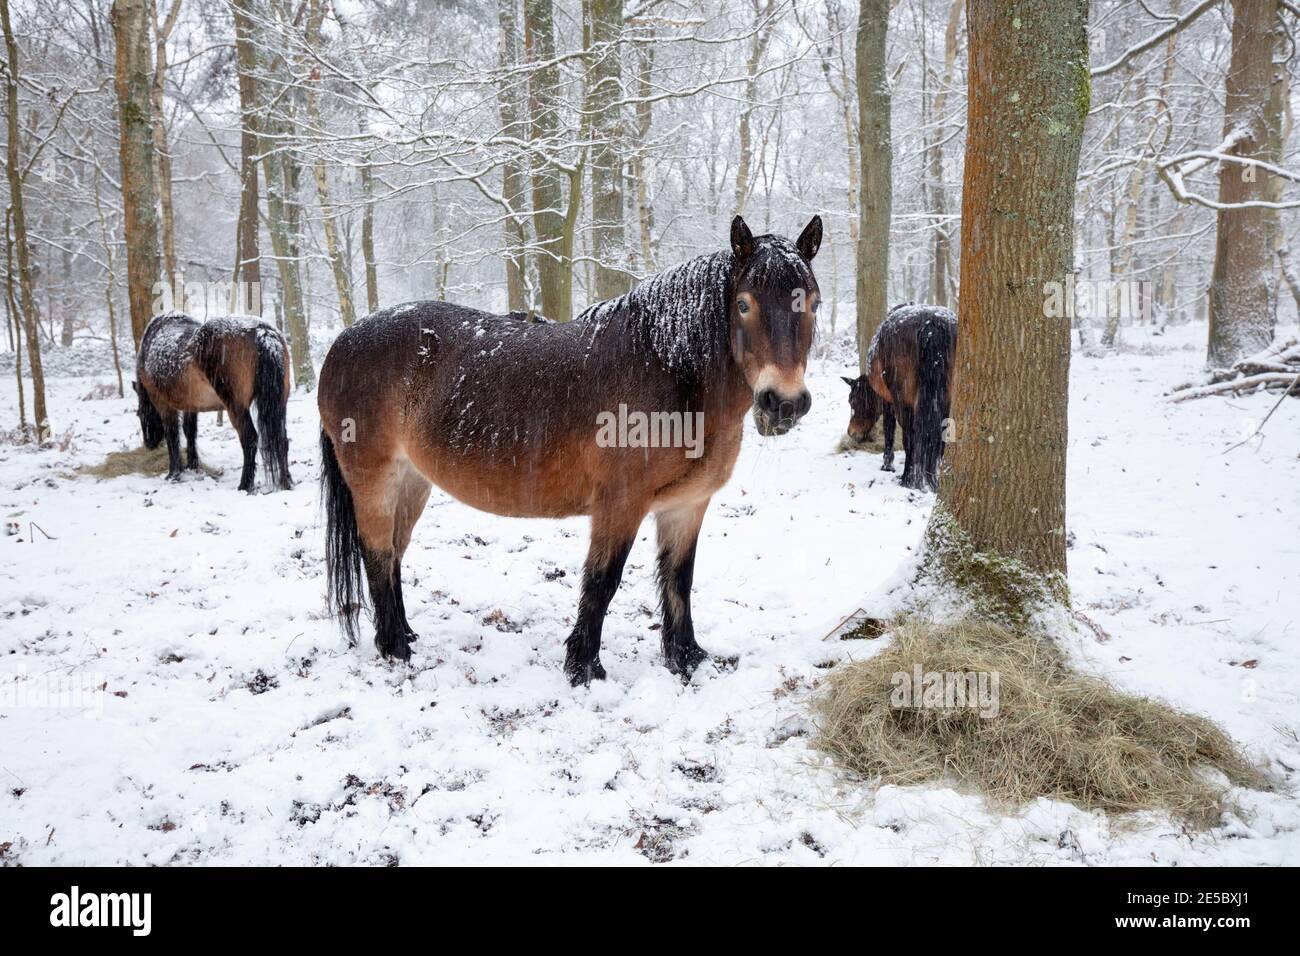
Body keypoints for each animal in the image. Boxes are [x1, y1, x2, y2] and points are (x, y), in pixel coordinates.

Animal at [133, 311, 293, 492]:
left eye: (139, 414)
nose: (149, 443)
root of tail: (262, 331)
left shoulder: (163, 404)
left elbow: (172, 436)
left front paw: (174, 474)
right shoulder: (191, 405)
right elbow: (190, 431)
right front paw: (192, 466)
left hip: (236, 407)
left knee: (250, 439)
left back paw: (244, 485)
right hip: (279, 404)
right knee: (282, 440)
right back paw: (286, 482)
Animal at [318, 215, 822, 685]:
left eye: (813, 303)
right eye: (743, 304)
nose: (783, 403)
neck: (667, 371)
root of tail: (343, 340)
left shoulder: (687, 505)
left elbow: (680, 580)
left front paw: (688, 660)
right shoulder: (620, 504)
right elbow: (602, 582)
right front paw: (585, 669)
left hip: (412, 482)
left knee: (394, 555)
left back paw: (405, 635)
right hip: (375, 482)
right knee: (377, 554)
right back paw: (394, 650)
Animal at [843, 303, 956, 491]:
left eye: (852, 401)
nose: (852, 433)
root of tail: (931, 323)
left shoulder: (889, 403)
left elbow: (889, 431)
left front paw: (887, 465)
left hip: (904, 403)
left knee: (909, 437)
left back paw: (907, 479)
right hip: (945, 400)